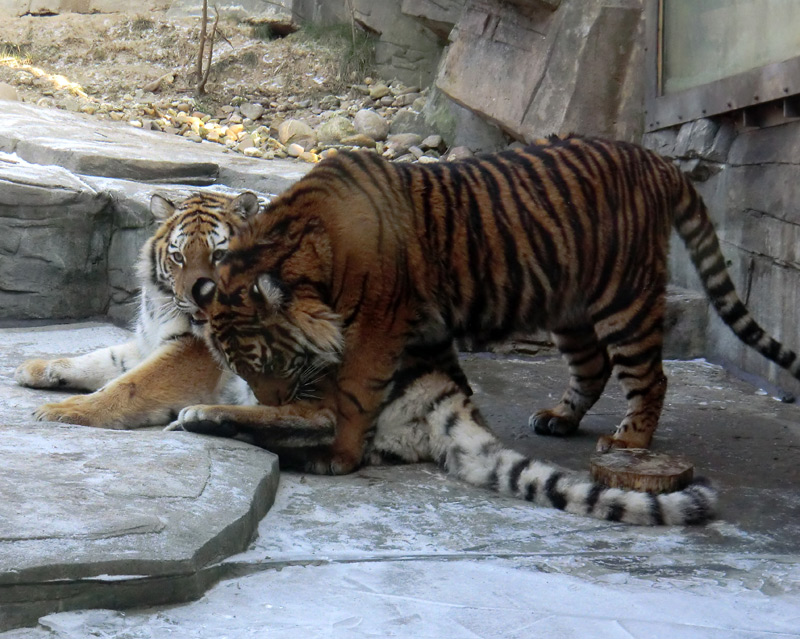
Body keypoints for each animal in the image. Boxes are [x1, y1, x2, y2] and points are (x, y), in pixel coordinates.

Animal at [178, 135, 800, 488]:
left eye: (270, 364)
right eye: (241, 370)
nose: (268, 400)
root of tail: (659, 161)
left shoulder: (377, 329)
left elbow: (355, 395)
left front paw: (337, 452)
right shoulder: (421, 329)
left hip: (625, 299)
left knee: (650, 376)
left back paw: (629, 443)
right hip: (568, 308)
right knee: (593, 367)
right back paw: (559, 418)